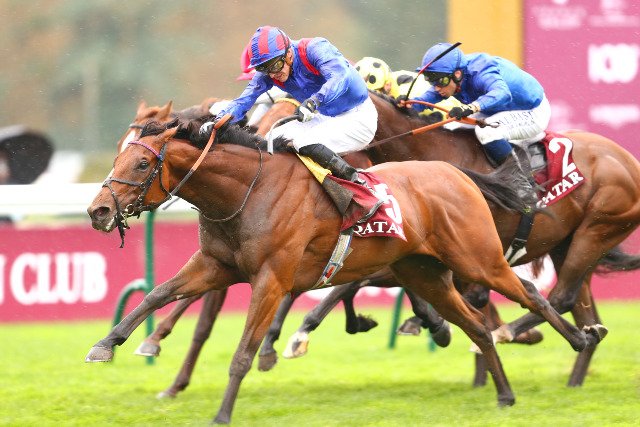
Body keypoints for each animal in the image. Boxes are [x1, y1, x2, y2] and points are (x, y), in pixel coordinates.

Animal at [85, 117, 601, 423]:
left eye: (143, 161)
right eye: (118, 156)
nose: (98, 211)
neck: (246, 191)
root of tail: (456, 173)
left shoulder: (271, 279)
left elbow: (243, 353)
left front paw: (222, 414)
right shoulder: (215, 265)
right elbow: (158, 295)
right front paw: (106, 344)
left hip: (478, 258)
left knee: (530, 293)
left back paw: (580, 337)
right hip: (425, 273)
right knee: (476, 325)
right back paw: (505, 395)